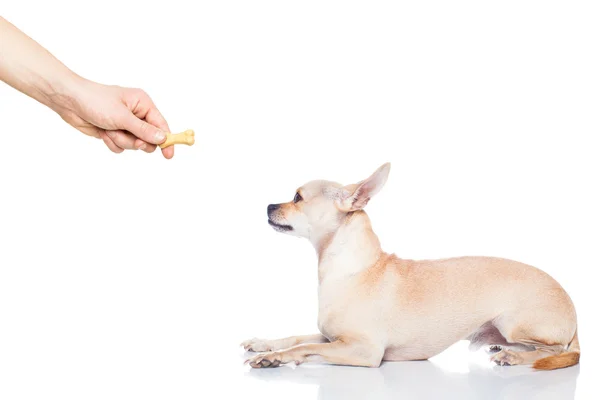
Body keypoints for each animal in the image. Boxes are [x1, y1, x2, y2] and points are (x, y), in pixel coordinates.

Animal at [241, 162, 580, 368]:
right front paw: (265, 346)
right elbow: (298, 338)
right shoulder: (331, 338)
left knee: (555, 351)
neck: (348, 271)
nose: (268, 205)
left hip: (515, 324)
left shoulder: (363, 350)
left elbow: (306, 349)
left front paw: (277, 357)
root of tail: (574, 314)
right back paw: (503, 349)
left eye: (297, 197)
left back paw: (513, 356)